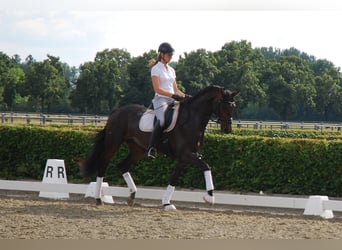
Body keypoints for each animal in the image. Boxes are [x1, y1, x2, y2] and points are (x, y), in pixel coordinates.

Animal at [77, 85, 238, 210]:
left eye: (233, 106)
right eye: (224, 105)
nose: (227, 129)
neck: (192, 119)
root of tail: (116, 111)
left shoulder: (184, 158)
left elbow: (174, 179)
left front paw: (166, 203)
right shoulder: (185, 154)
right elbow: (206, 166)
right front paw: (210, 198)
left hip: (138, 149)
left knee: (122, 165)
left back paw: (132, 196)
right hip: (113, 144)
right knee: (103, 166)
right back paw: (98, 199)